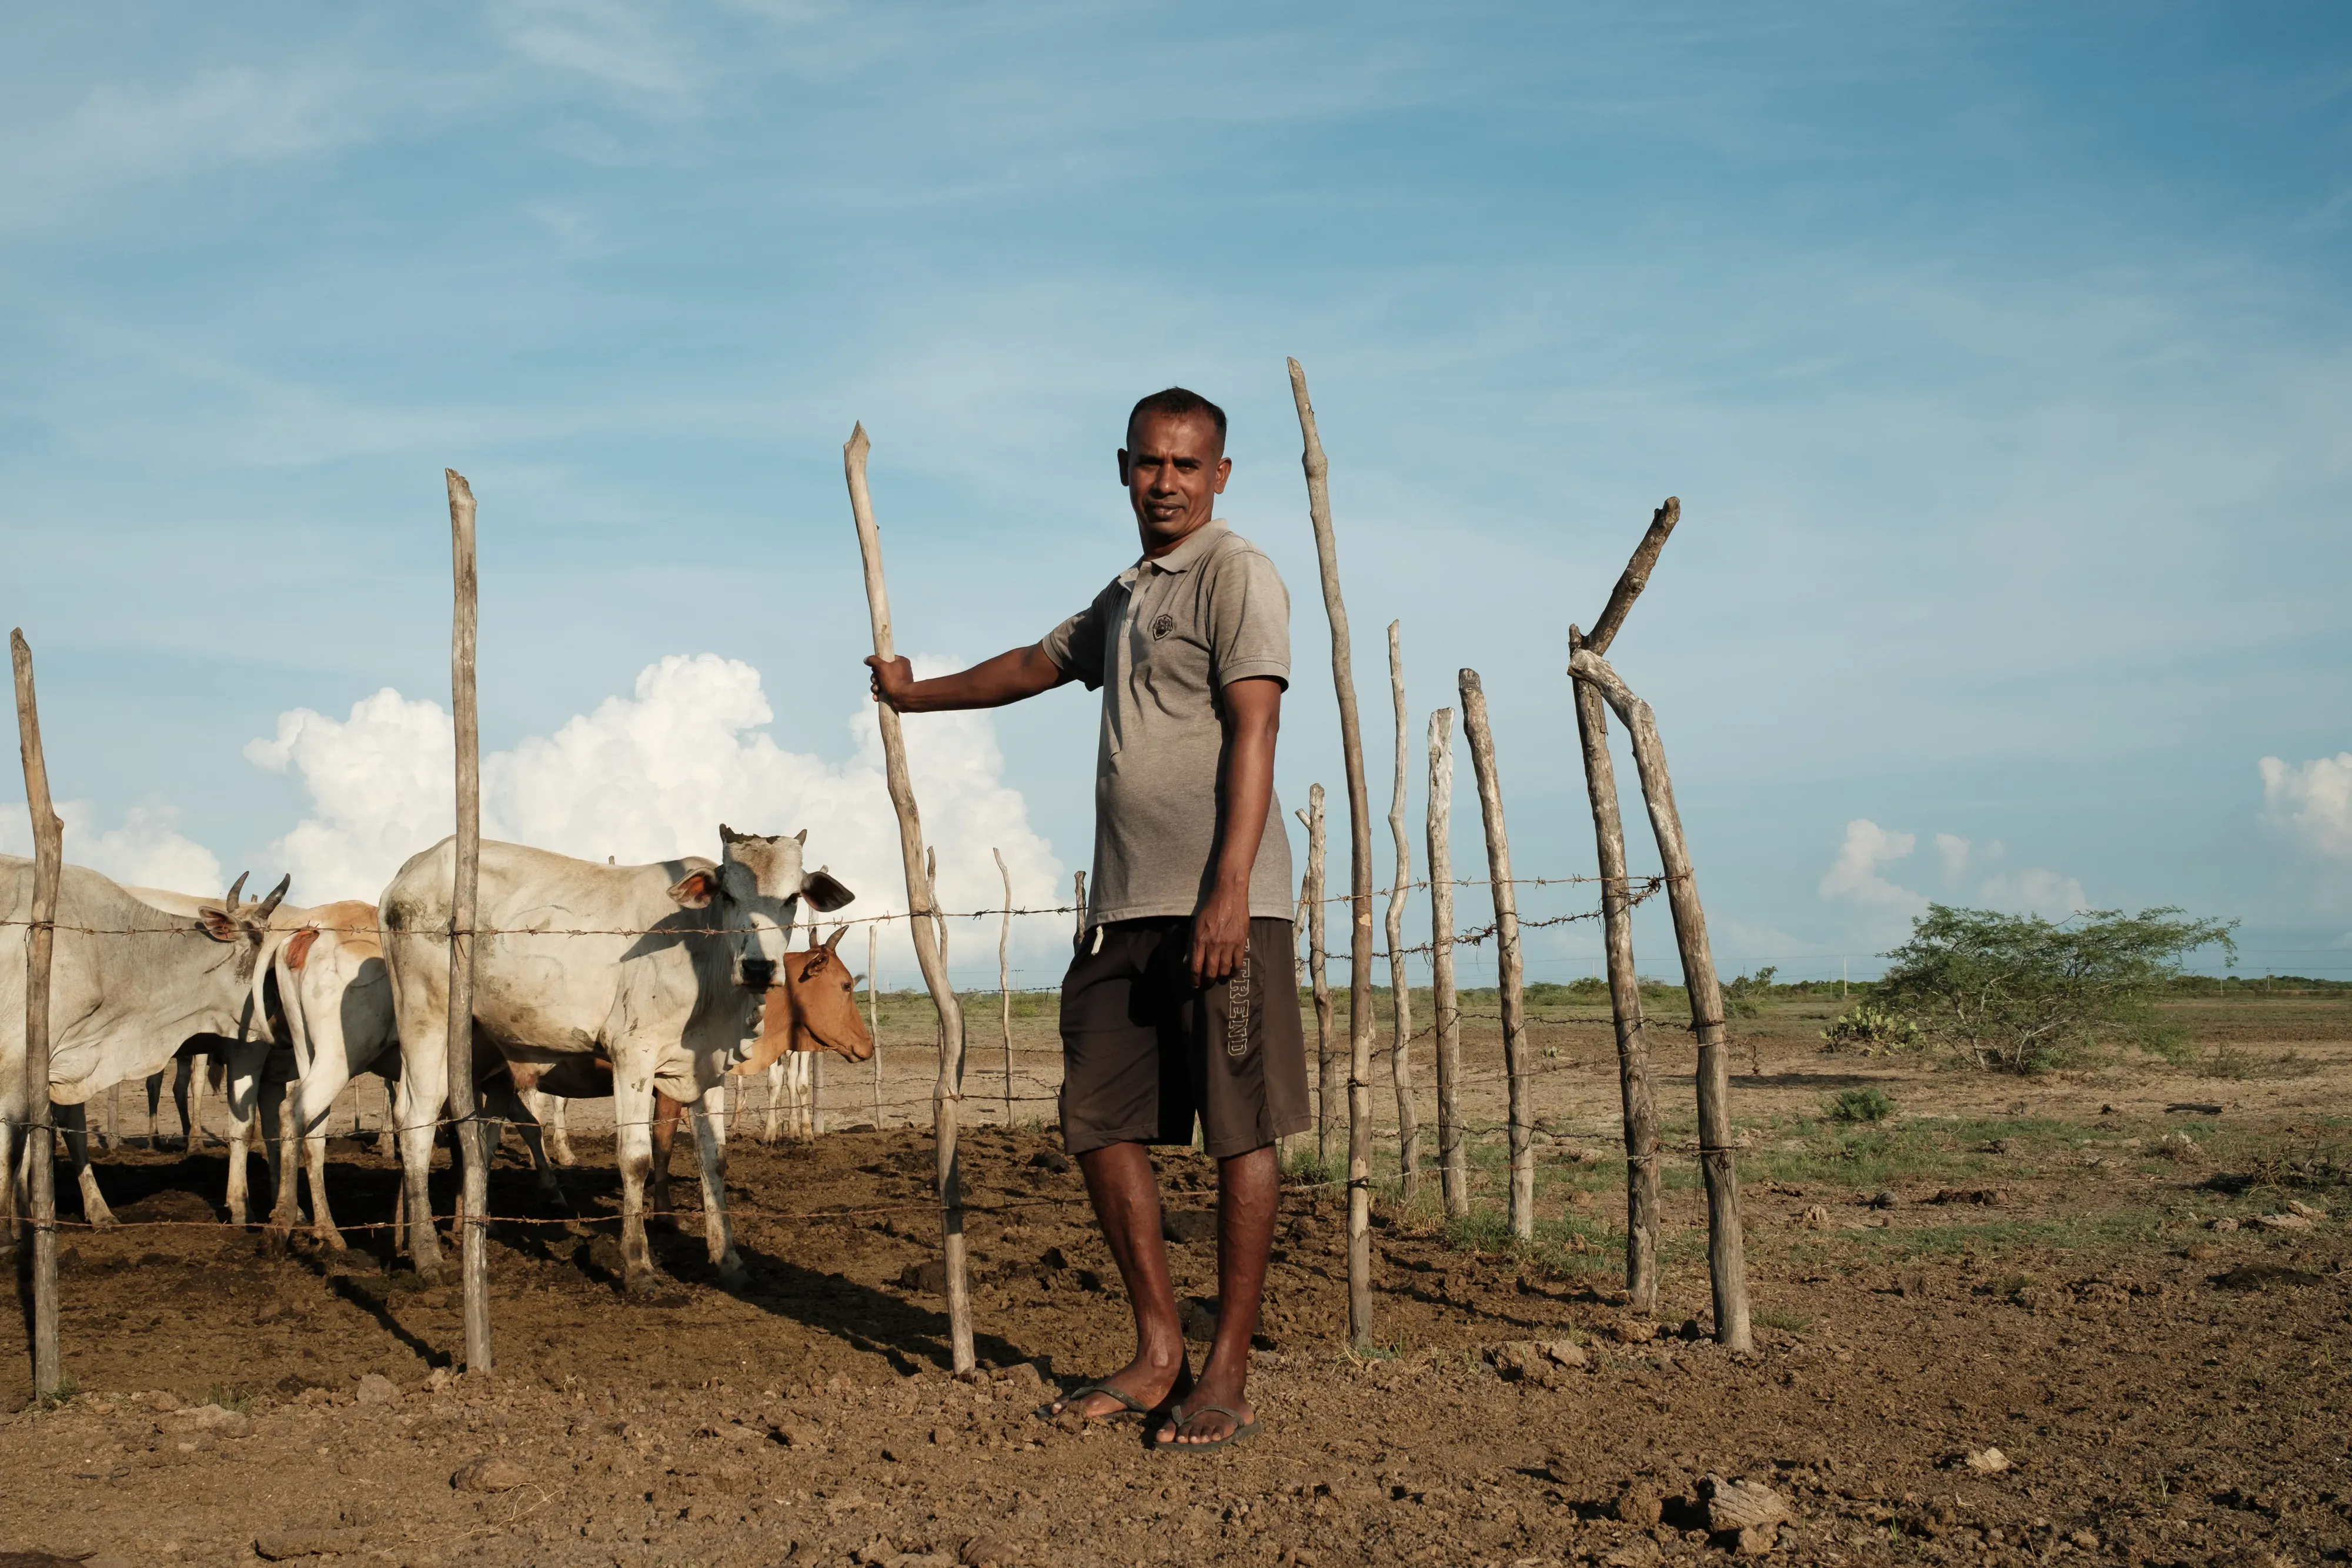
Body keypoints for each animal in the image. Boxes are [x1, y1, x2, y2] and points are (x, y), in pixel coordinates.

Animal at [386, 827, 856, 1298]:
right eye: (729, 895)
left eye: (792, 897)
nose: (758, 967)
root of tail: (412, 868)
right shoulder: (634, 1055)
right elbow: (636, 1157)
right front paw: (638, 1265)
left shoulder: (706, 1069)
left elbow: (714, 1159)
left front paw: (729, 1260)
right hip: (425, 1022)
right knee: (416, 1124)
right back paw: (427, 1256)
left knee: (472, 1133)